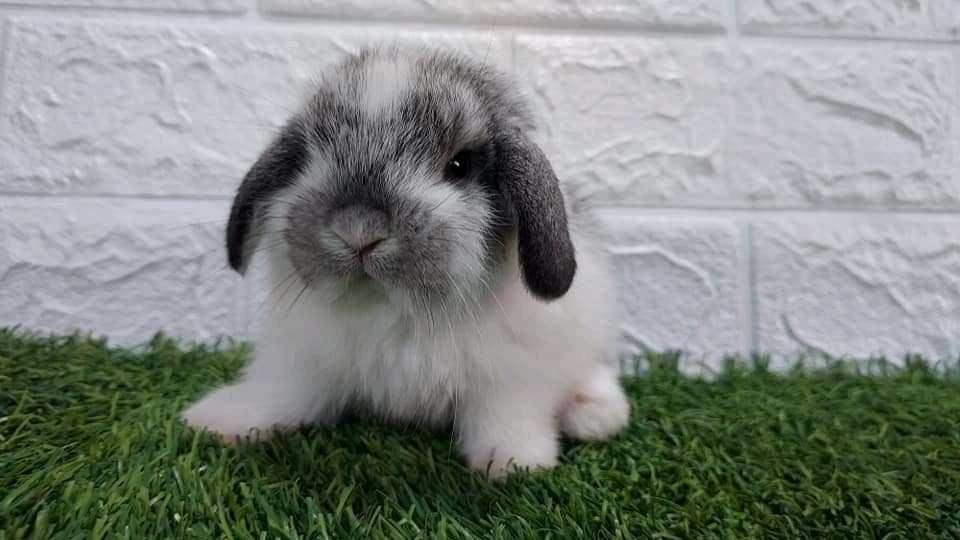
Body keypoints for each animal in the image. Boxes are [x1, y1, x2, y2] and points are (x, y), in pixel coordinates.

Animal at [181, 45, 632, 476]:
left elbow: (504, 419)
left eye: (459, 165)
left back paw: (594, 412)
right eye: (308, 157)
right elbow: (281, 396)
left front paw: (515, 464)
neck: (396, 308)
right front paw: (216, 420)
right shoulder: (301, 360)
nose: (358, 230)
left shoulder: (510, 378)